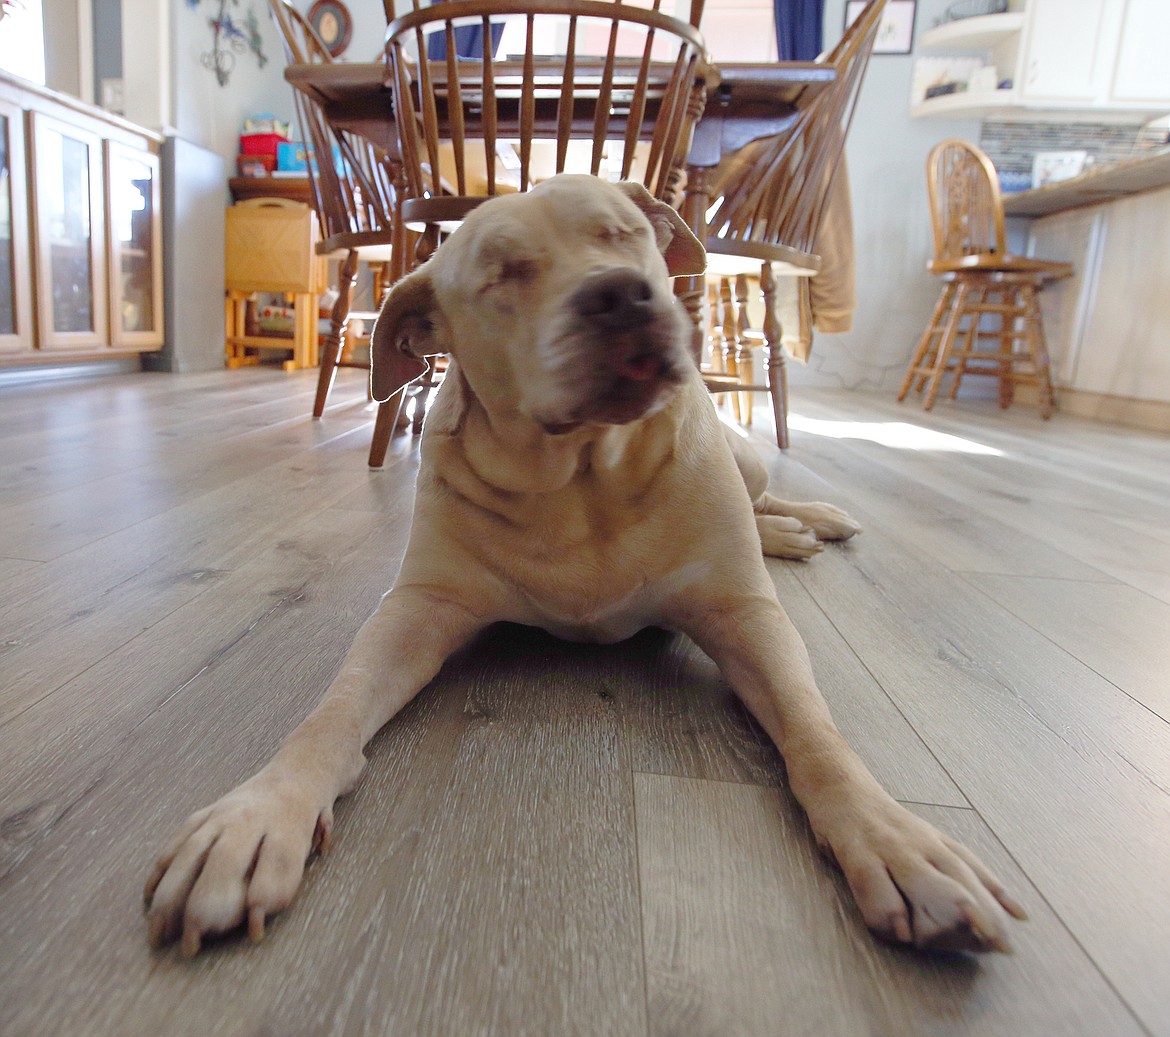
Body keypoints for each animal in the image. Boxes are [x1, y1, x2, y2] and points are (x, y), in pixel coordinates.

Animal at [143, 176, 1024, 959]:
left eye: (620, 234)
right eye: (502, 273)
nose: (620, 295)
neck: (582, 478)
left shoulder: (745, 617)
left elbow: (818, 731)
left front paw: (893, 837)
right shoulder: (416, 610)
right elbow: (329, 714)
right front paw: (258, 815)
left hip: (743, 462)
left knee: (764, 497)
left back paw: (808, 522)